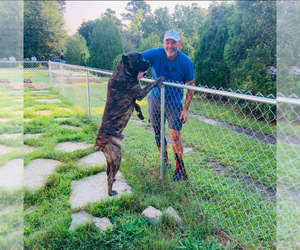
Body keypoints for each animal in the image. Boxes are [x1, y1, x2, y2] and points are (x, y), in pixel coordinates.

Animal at [94, 51, 164, 196]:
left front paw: (140, 115)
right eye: (138, 59)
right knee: (110, 176)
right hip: (117, 157)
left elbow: (137, 105)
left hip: (110, 160)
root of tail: (99, 141)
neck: (123, 71)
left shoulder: (136, 97)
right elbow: (149, 86)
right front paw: (159, 79)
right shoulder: (140, 92)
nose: (148, 62)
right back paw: (111, 192)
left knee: (108, 171)